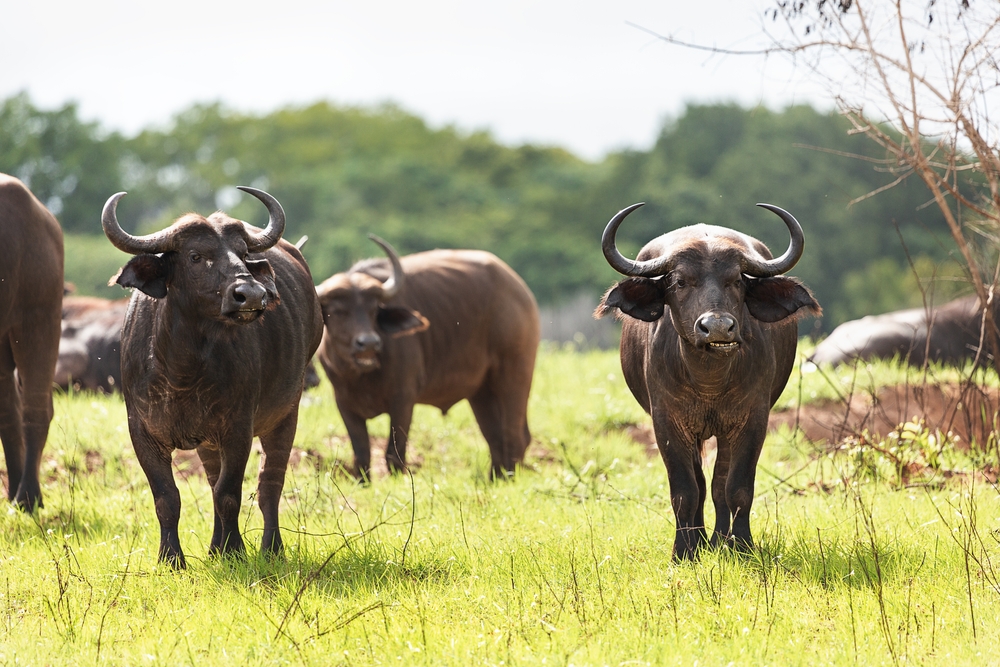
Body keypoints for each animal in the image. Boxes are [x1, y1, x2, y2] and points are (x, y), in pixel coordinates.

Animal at [102, 188, 320, 568]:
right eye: (195, 255)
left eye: (244, 254)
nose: (252, 295)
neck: (182, 371)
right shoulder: (142, 432)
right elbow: (167, 497)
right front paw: (171, 559)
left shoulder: (238, 429)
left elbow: (229, 494)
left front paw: (235, 552)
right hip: (207, 442)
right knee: (214, 478)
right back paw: (215, 547)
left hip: (286, 413)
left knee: (269, 484)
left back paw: (270, 548)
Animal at [318, 240, 540, 480]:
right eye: (337, 311)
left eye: (374, 310)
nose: (368, 343)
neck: (361, 376)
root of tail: (519, 289)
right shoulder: (344, 404)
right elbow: (361, 455)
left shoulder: (403, 399)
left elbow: (394, 453)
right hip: (481, 391)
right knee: (495, 437)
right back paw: (495, 480)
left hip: (515, 372)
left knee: (515, 435)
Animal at [592, 202, 820, 560]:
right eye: (680, 282)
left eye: (737, 281)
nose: (717, 327)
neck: (709, 381)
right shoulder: (667, 422)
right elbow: (685, 489)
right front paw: (684, 552)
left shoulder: (752, 420)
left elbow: (736, 487)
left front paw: (741, 547)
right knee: (700, 483)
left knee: (717, 483)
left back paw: (718, 540)